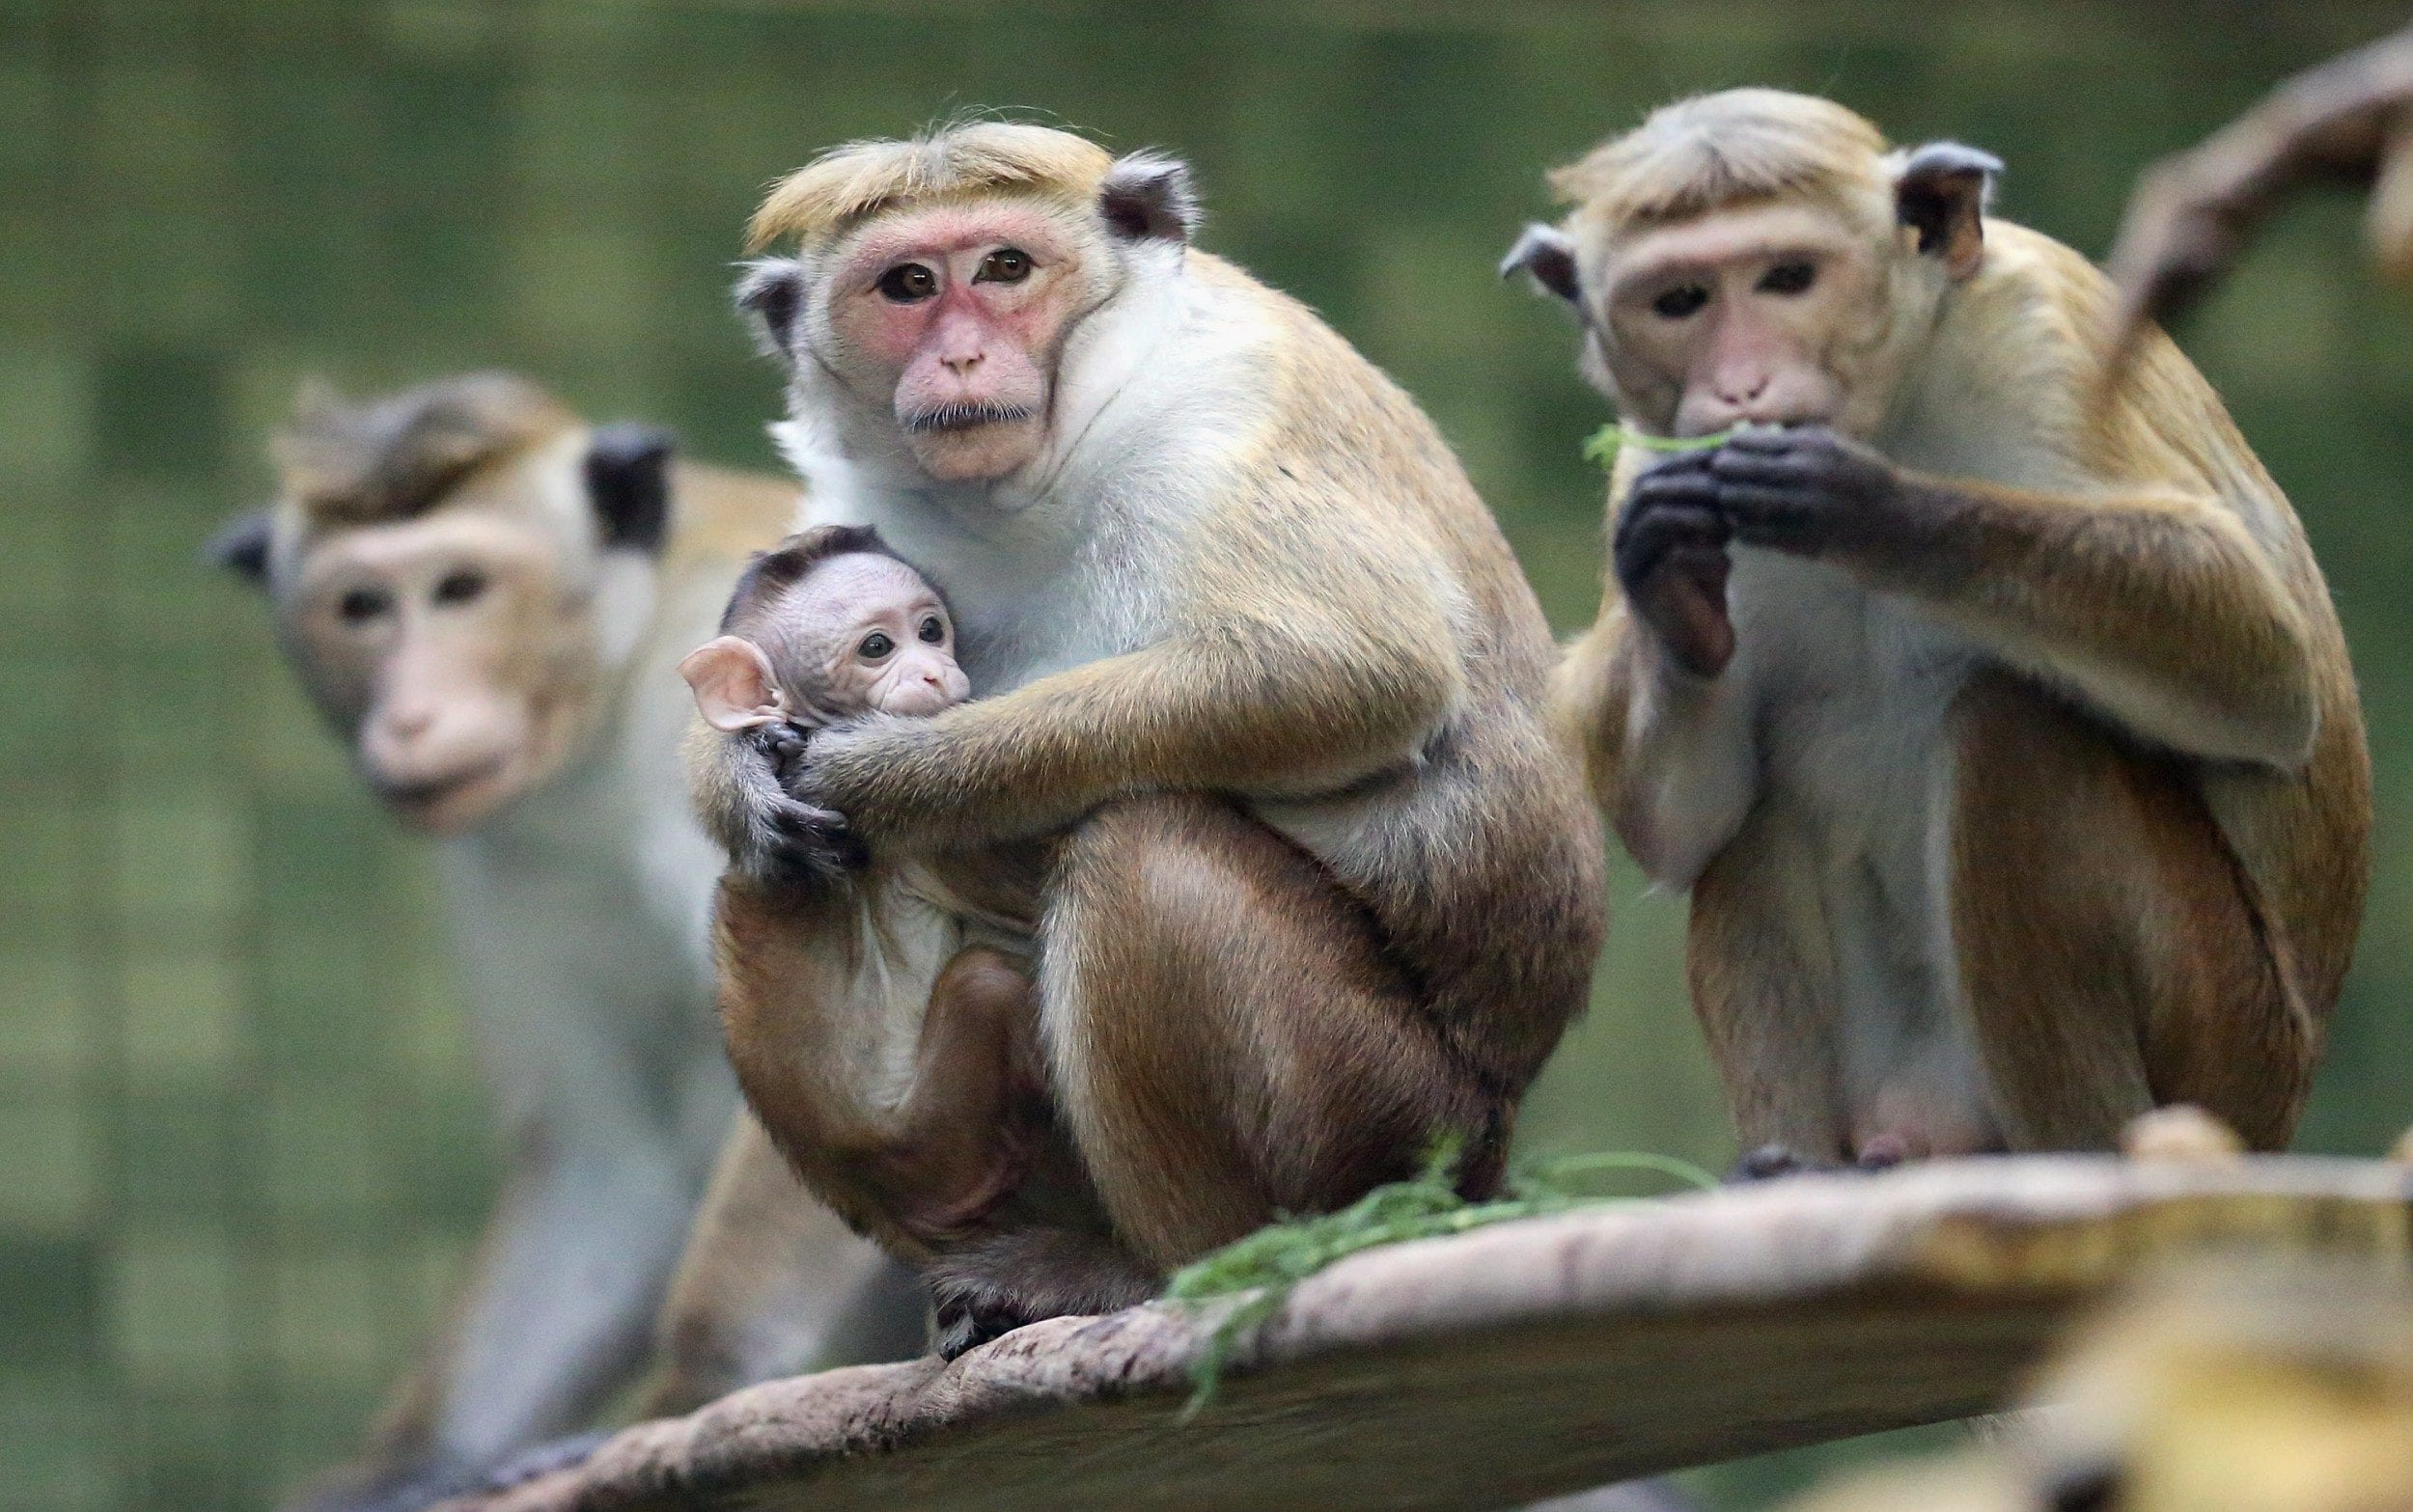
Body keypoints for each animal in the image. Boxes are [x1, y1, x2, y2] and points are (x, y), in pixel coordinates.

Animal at [209, 374, 926, 1511]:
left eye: (460, 588)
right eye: (361, 606)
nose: (409, 718)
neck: (610, 692)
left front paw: (689, 1395)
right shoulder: (507, 862)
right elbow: (607, 1160)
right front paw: (411, 1464)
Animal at [699, 120, 1607, 1346]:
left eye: (1004, 269)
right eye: (907, 285)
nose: (963, 358)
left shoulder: (1211, 425)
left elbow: (1351, 667)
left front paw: (891, 777)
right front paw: (737, 781)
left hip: (1387, 1120)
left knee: (1146, 852)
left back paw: (1165, 1271)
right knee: (769, 892)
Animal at [1502, 89, 2369, 1170]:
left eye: (1788, 279)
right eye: (1682, 300)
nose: (1742, 388)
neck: (1895, 397)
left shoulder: (2042, 344)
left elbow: (2264, 662)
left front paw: (1872, 509)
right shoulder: (1649, 448)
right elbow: (1682, 824)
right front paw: (1669, 574)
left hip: (2228, 1040)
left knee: (2017, 731)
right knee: (1755, 813)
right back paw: (1788, 1168)